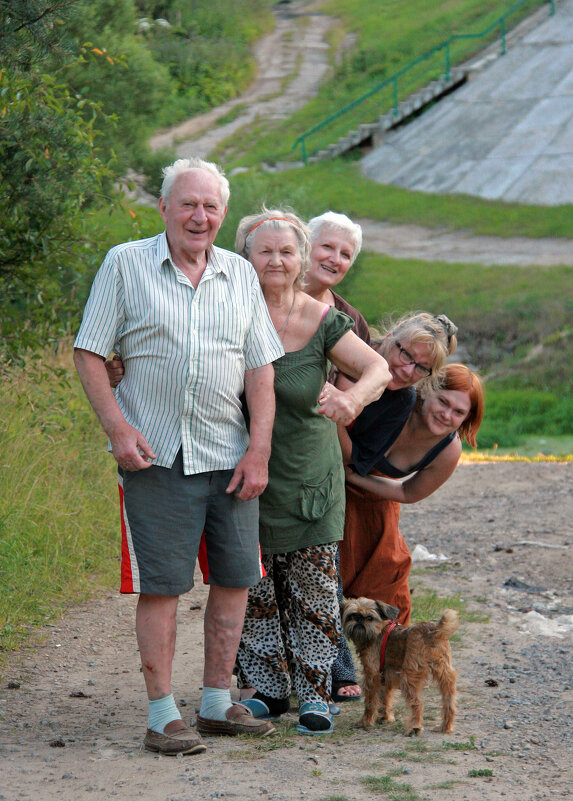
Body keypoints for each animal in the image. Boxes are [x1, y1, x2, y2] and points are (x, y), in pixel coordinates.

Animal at [342, 596, 458, 736]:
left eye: (369, 618)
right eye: (352, 616)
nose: (359, 620)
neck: (378, 631)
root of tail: (432, 631)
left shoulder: (372, 675)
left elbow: (370, 702)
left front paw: (365, 722)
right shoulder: (385, 676)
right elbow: (385, 698)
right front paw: (385, 718)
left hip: (408, 677)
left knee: (417, 703)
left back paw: (414, 727)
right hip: (444, 673)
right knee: (448, 701)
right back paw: (445, 726)